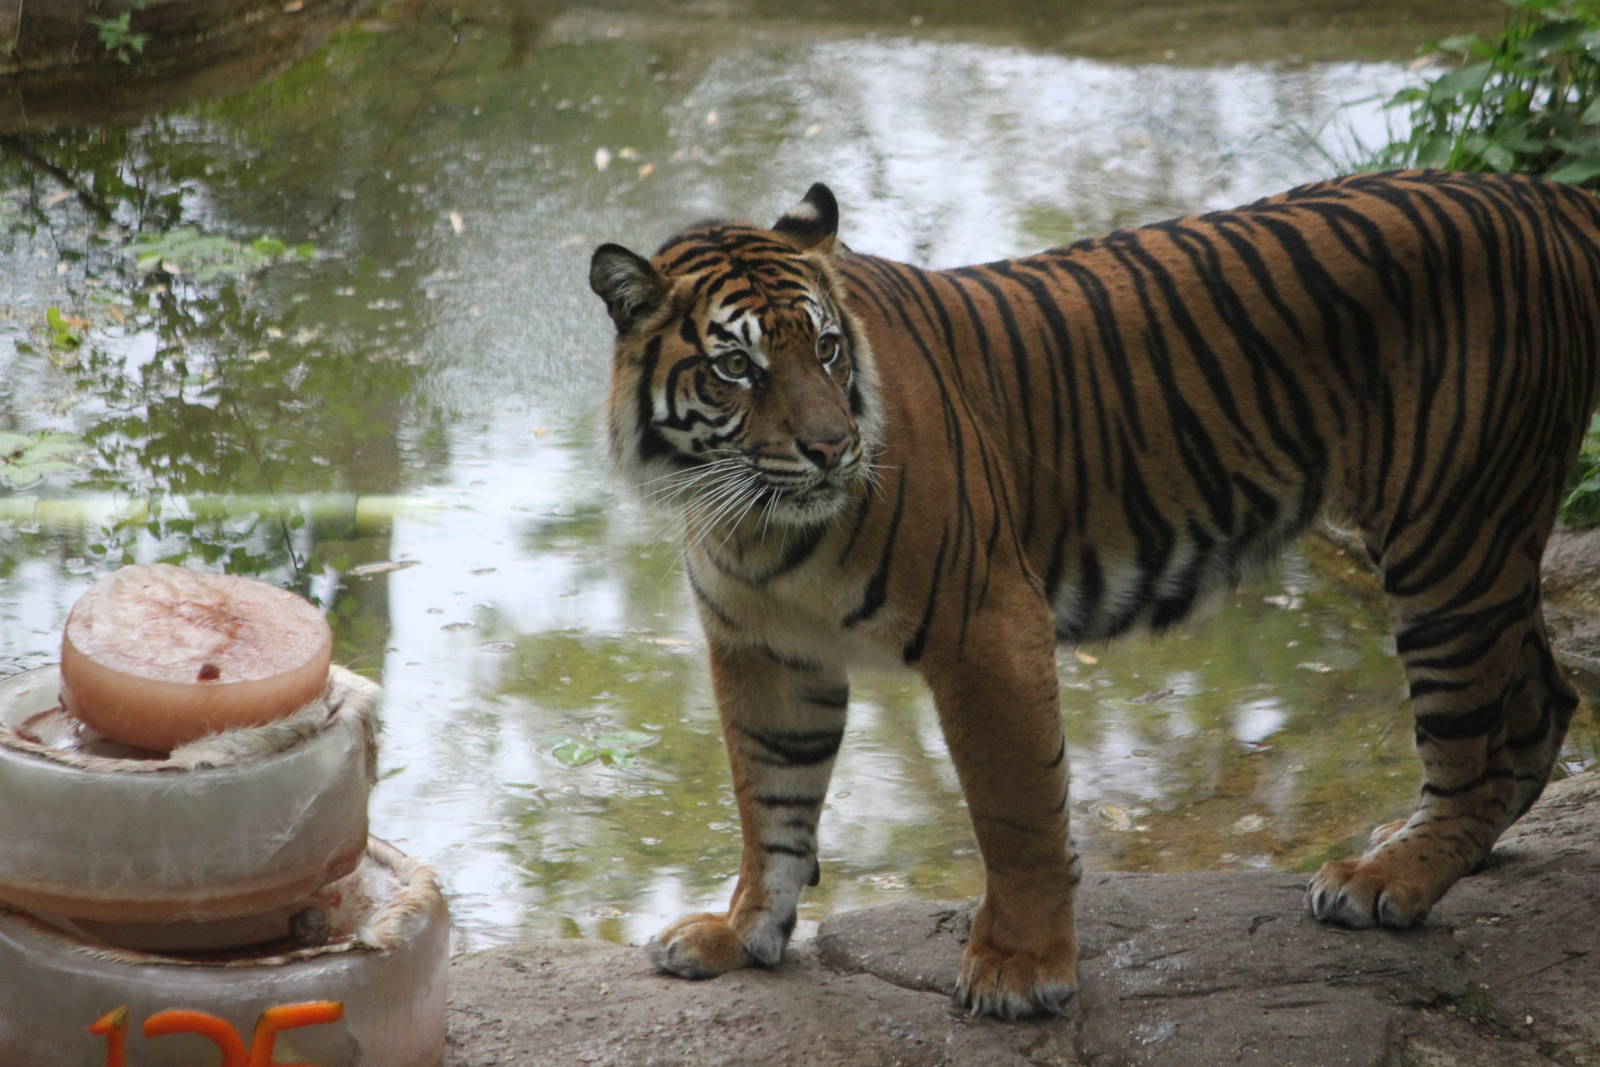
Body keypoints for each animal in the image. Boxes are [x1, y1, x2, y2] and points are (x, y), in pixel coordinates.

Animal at [587, 169, 1600, 1019]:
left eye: (829, 349)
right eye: (738, 367)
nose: (834, 449)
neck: (757, 523)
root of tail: (1541, 194)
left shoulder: (986, 626)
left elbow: (1016, 810)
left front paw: (1020, 968)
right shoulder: (765, 648)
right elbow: (769, 799)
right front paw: (741, 932)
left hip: (1452, 535)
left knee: (1474, 732)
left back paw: (1388, 878)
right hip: (1477, 542)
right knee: (1543, 700)